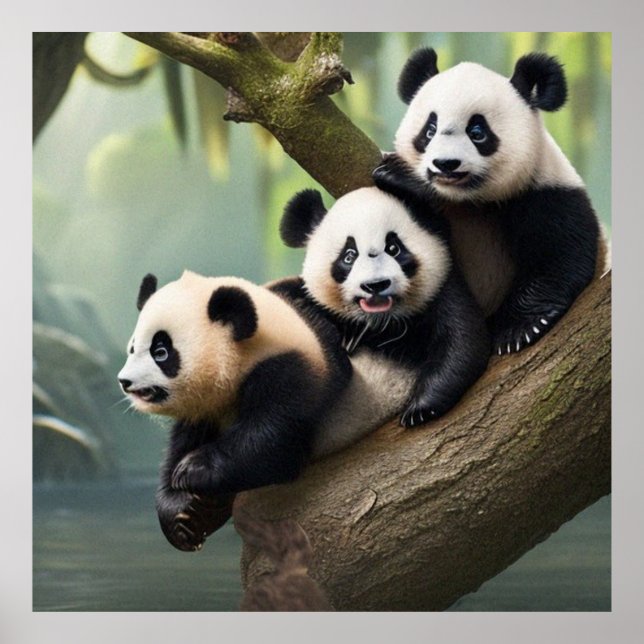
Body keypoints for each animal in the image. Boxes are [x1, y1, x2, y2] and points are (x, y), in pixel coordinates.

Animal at [117, 270, 350, 551]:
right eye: (132, 347)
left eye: (160, 352)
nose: (124, 381)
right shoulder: (204, 411)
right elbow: (180, 446)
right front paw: (183, 512)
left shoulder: (291, 373)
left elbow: (271, 444)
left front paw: (191, 470)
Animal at [275, 186, 490, 453]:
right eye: (349, 256)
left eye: (393, 248)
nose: (375, 285)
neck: (380, 323)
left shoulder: (441, 292)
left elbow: (463, 341)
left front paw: (420, 408)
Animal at [373, 47, 606, 355]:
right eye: (429, 130)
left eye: (477, 132)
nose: (445, 164)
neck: (470, 202)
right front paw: (400, 177)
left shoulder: (547, 193)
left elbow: (560, 257)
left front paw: (520, 328)